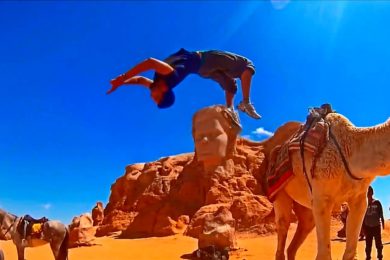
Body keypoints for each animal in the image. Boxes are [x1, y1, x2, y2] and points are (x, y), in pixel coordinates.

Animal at [272, 112, 390, 260]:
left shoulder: (360, 199)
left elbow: (350, 253)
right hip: (280, 190)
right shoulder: (322, 198)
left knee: (304, 226)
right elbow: (324, 255)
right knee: (283, 223)